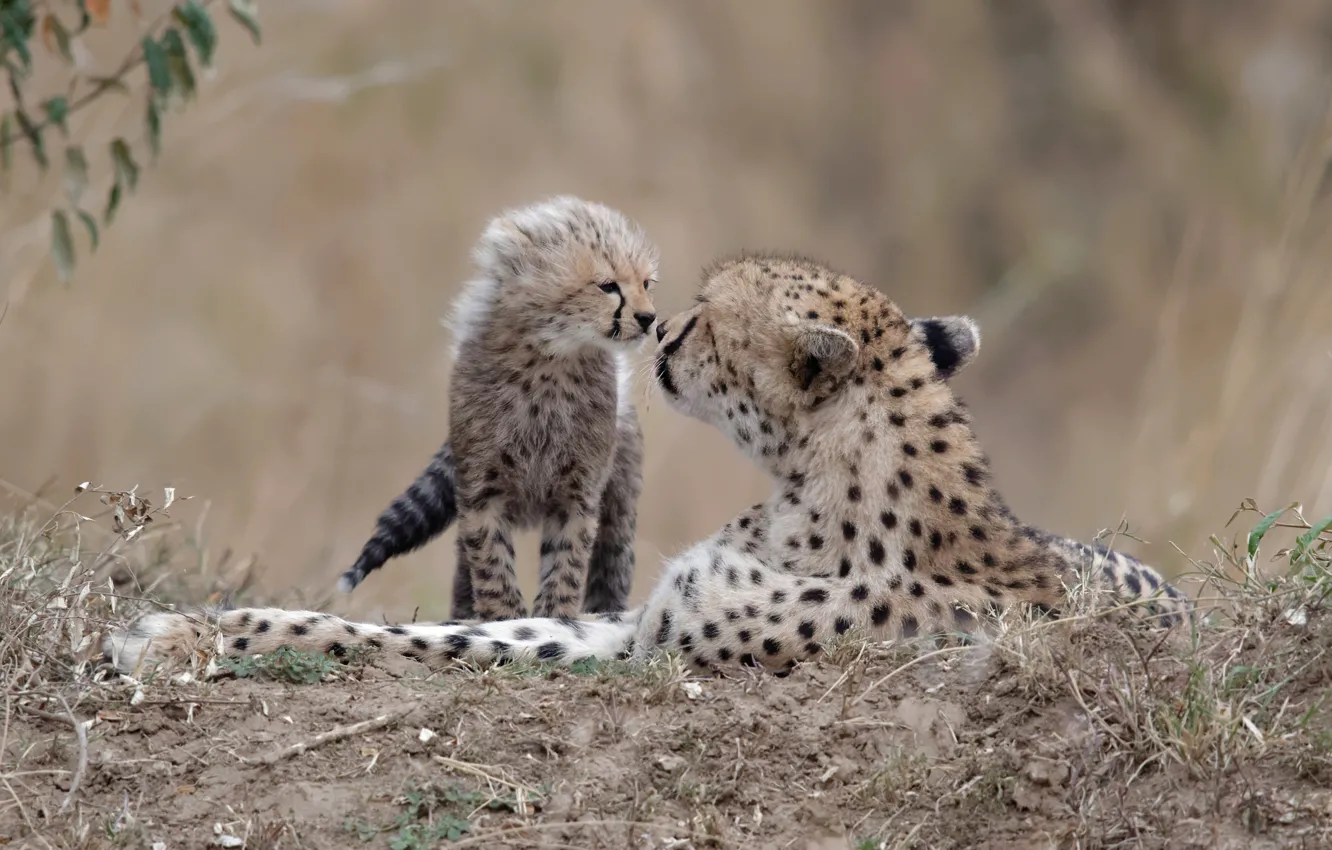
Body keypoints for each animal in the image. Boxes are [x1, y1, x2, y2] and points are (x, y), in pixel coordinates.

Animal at [104, 253, 1192, 677]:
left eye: (708, 316)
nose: (661, 329)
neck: (813, 487)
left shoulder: (657, 646)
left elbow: (440, 644)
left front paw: (180, 634)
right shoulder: (638, 620)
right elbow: (474, 627)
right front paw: (192, 623)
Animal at [335, 195, 658, 622]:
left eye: (646, 284)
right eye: (607, 286)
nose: (649, 318)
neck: (550, 360)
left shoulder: (578, 497)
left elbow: (566, 567)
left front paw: (553, 620)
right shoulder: (480, 494)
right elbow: (491, 565)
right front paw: (503, 619)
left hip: (619, 503)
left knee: (613, 561)